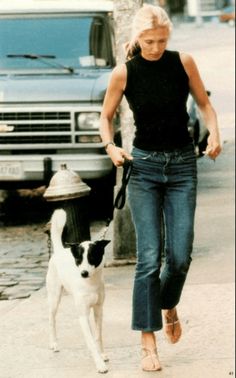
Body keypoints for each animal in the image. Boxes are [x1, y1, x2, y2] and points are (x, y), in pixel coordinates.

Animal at [46, 208, 110, 374]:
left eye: (92, 257)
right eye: (78, 260)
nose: (84, 273)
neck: (91, 283)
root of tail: (60, 251)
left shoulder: (99, 310)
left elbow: (98, 336)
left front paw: (102, 354)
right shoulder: (83, 314)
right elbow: (91, 340)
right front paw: (99, 364)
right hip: (54, 297)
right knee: (51, 319)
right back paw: (54, 343)